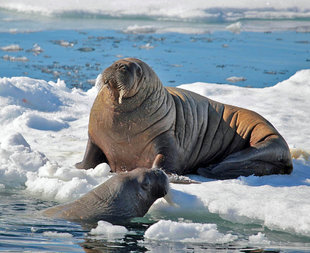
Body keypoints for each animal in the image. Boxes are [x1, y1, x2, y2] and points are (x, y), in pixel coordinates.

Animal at [75, 57, 294, 180]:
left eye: (138, 71)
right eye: (115, 62)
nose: (120, 65)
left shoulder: (167, 138)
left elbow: (166, 160)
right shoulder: (94, 136)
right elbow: (89, 156)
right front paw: (79, 167)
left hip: (262, 137)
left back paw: (208, 169)